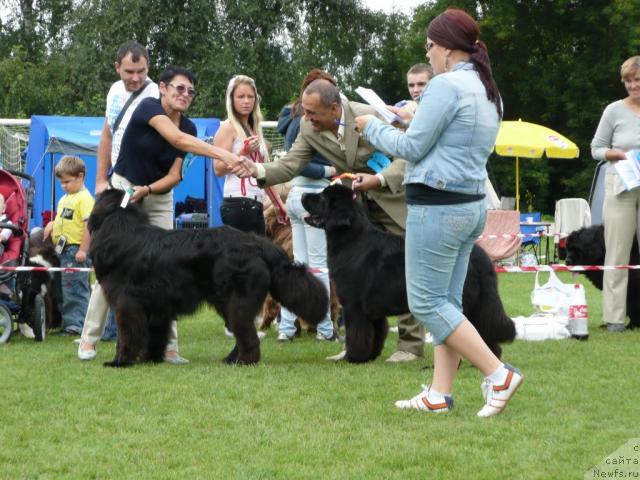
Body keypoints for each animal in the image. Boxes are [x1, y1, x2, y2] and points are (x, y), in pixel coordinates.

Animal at [87, 189, 328, 366]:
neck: (122, 230)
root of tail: (259, 244)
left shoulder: (127, 303)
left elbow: (127, 336)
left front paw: (120, 361)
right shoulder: (158, 306)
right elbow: (156, 334)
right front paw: (151, 359)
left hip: (235, 300)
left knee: (247, 334)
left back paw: (244, 361)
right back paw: (232, 359)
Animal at [302, 185, 516, 364]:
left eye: (322, 197)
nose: (303, 195)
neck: (350, 240)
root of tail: (480, 255)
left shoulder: (354, 306)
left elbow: (357, 334)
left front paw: (353, 357)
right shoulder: (372, 310)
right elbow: (376, 333)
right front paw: (369, 356)